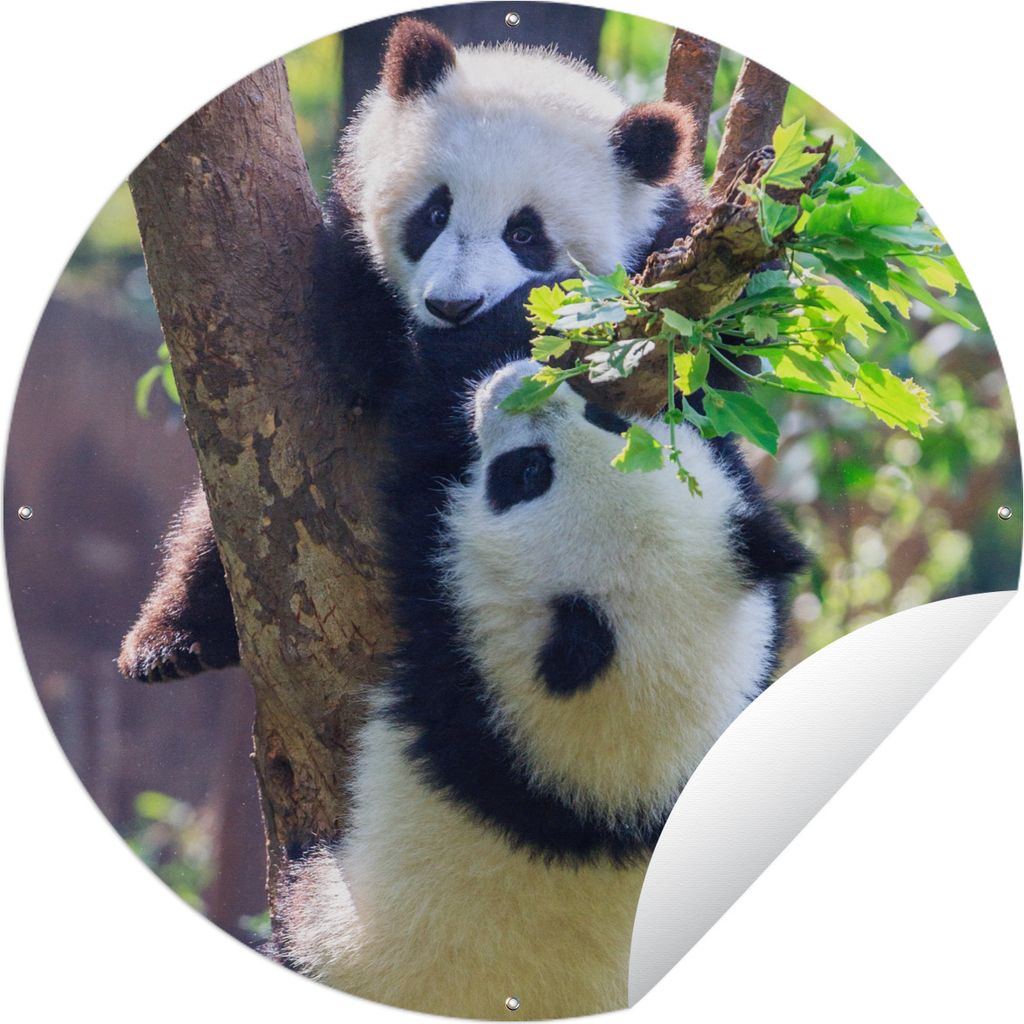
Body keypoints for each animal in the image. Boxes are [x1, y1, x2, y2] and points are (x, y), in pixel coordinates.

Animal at [118, 16, 708, 682]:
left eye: (525, 233)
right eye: (434, 212)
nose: (453, 306)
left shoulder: (670, 270)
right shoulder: (351, 263)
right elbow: (369, 364)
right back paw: (172, 640)